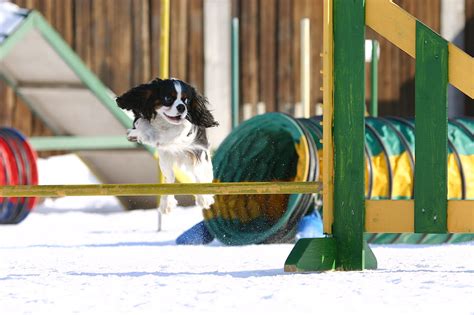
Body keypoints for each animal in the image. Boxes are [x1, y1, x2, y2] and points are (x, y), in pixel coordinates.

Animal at [115, 78, 219, 214]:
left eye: (186, 100)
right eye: (168, 98)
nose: (182, 107)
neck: (165, 123)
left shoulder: (194, 144)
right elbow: (142, 125)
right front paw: (138, 134)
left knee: (200, 174)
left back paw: (204, 198)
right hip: (165, 160)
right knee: (169, 178)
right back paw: (166, 203)